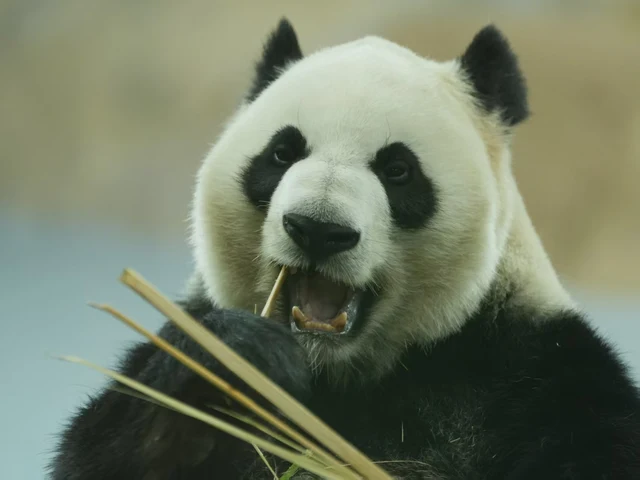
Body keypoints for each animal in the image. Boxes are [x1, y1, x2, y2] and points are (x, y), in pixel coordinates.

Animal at [50, 18, 640, 480]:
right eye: (282, 152)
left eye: (398, 170)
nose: (317, 228)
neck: (336, 374)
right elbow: (99, 450)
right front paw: (232, 362)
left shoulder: (533, 377)